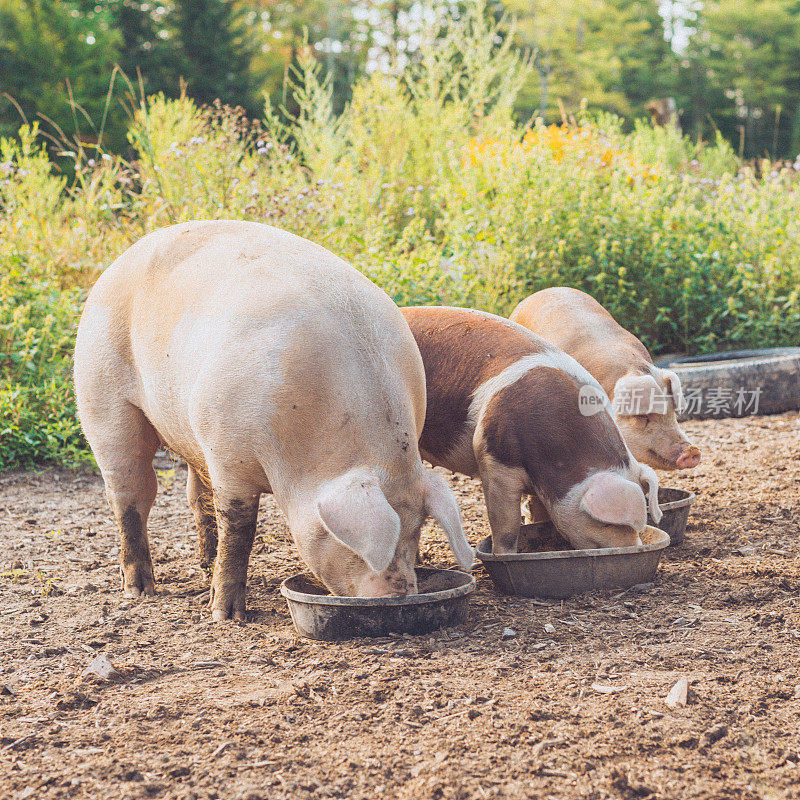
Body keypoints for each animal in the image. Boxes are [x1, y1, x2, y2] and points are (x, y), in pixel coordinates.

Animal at [73, 217, 476, 620]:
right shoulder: (227, 449)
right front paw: (225, 615)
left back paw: (204, 564)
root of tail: (126, 255)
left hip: (187, 429)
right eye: (356, 545)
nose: (398, 595)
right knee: (130, 494)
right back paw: (139, 591)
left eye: (415, 531)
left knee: (195, 496)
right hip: (102, 395)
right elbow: (239, 528)